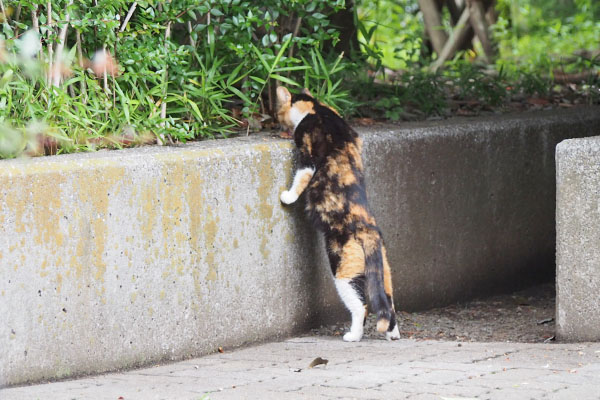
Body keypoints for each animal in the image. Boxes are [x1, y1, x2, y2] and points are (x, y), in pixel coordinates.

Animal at [276, 86, 398, 342]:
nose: (278, 125)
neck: (318, 108)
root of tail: (370, 231)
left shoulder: (308, 150)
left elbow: (302, 176)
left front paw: (288, 197)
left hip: (343, 271)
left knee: (361, 306)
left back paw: (353, 335)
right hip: (384, 273)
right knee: (389, 303)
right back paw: (393, 334)